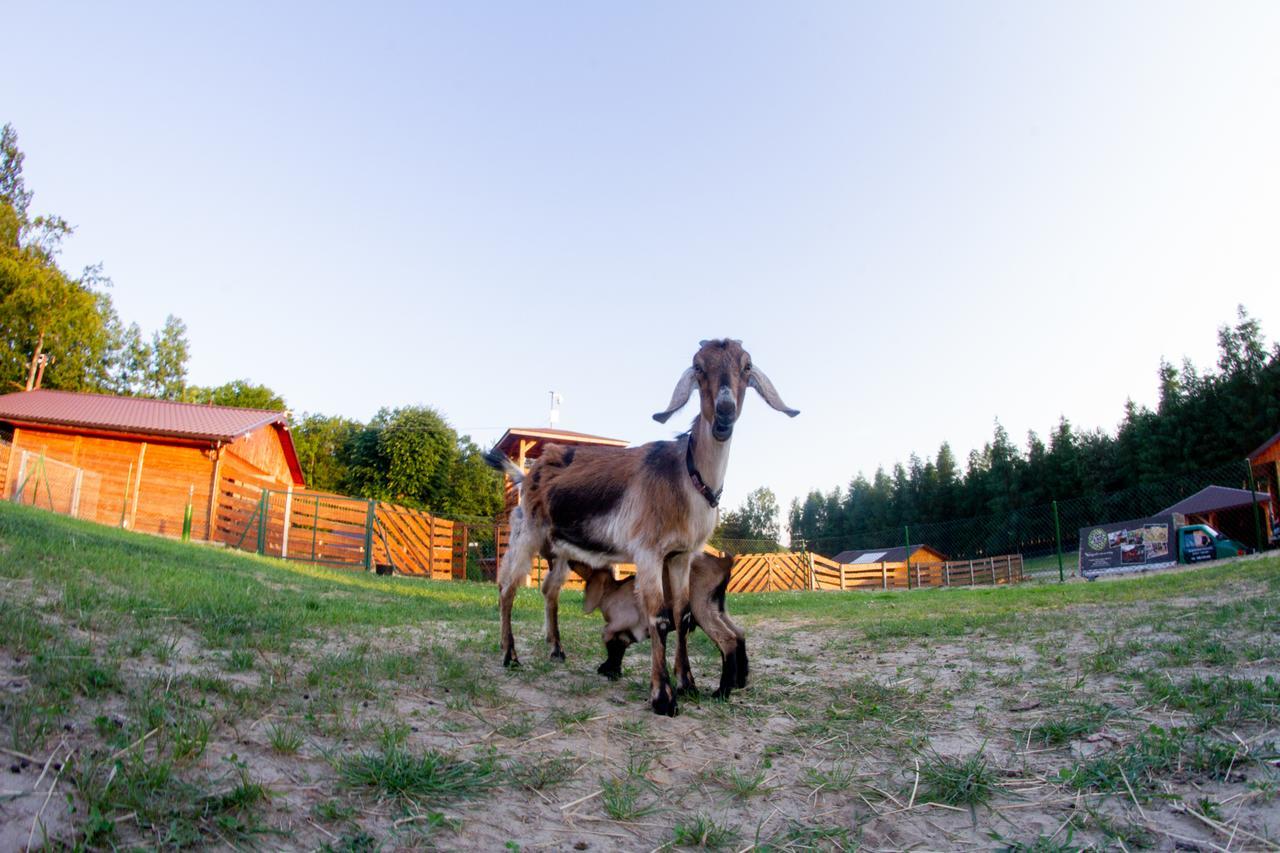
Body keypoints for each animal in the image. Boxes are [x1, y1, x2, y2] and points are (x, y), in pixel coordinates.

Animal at [583, 550, 747, 696]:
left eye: (611, 648)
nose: (607, 671)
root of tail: (723, 562)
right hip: (717, 608)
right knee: (738, 633)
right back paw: (740, 682)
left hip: (701, 608)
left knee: (727, 638)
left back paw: (722, 692)